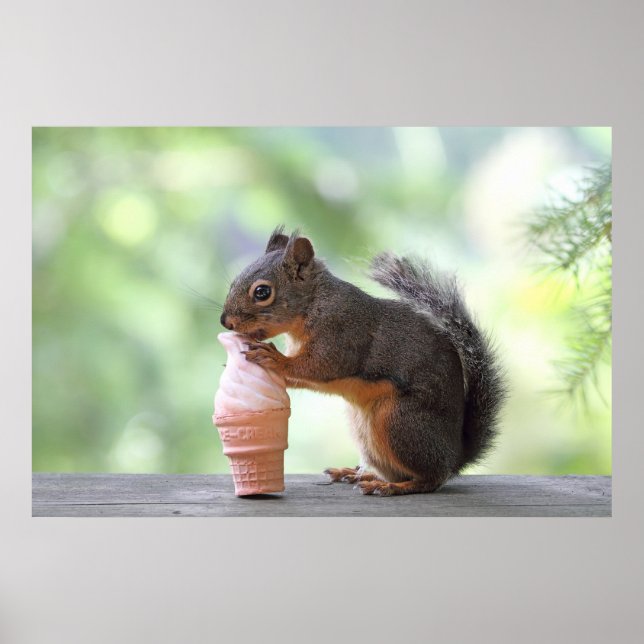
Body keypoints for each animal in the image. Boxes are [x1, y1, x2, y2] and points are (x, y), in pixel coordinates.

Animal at [220, 226, 507, 495]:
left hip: (400, 422)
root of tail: (455, 455)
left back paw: (391, 487)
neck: (315, 303)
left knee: (430, 478)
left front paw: (275, 358)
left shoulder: (341, 335)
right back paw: (358, 474)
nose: (226, 322)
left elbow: (319, 365)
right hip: (366, 432)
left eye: (262, 292)